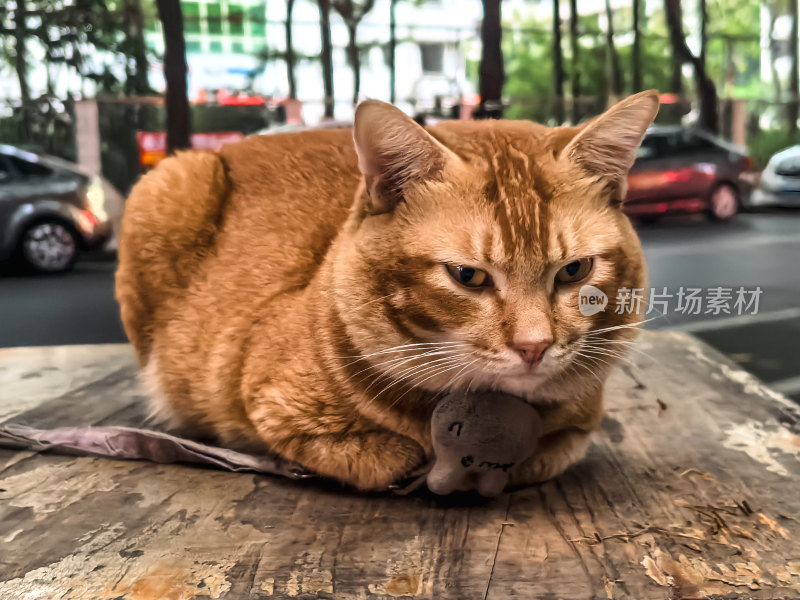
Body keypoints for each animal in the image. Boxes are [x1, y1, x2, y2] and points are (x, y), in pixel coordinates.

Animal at [117, 91, 656, 490]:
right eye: (468, 277)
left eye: (574, 271)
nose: (534, 347)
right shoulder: (271, 405)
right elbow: (389, 457)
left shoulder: (576, 430)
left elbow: (545, 453)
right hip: (169, 186)